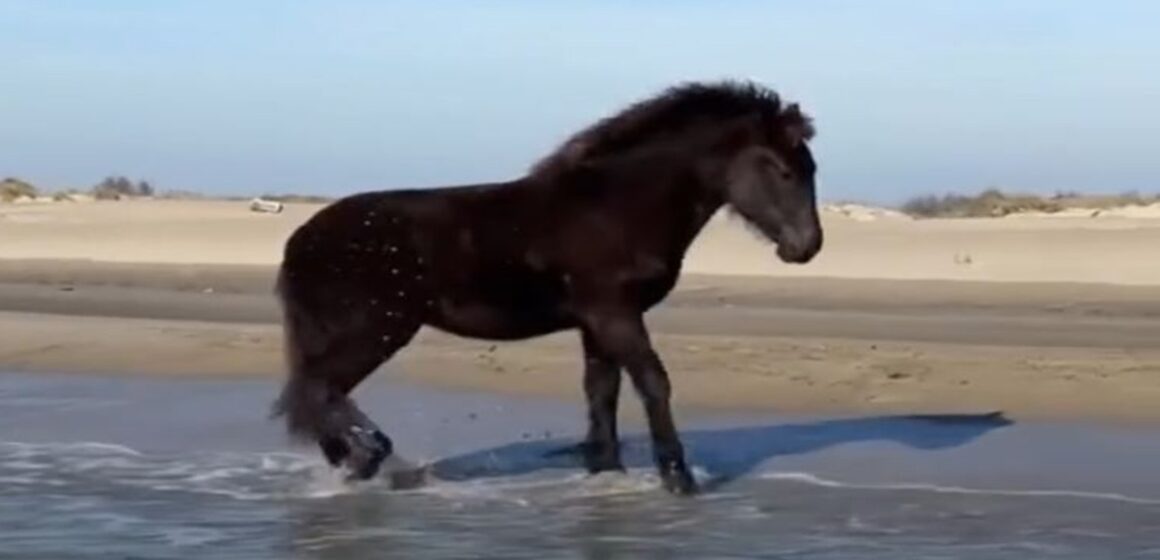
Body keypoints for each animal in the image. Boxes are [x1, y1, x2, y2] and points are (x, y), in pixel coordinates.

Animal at [272, 80, 822, 495]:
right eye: (783, 169)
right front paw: (677, 479)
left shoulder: (597, 322)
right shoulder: (615, 314)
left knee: (314, 394)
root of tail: (300, 240)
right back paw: (371, 455)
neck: (618, 208)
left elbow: (602, 391)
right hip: (376, 330)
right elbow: (653, 382)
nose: (808, 247)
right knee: (318, 388)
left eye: (809, 168)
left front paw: (607, 472)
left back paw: (354, 463)